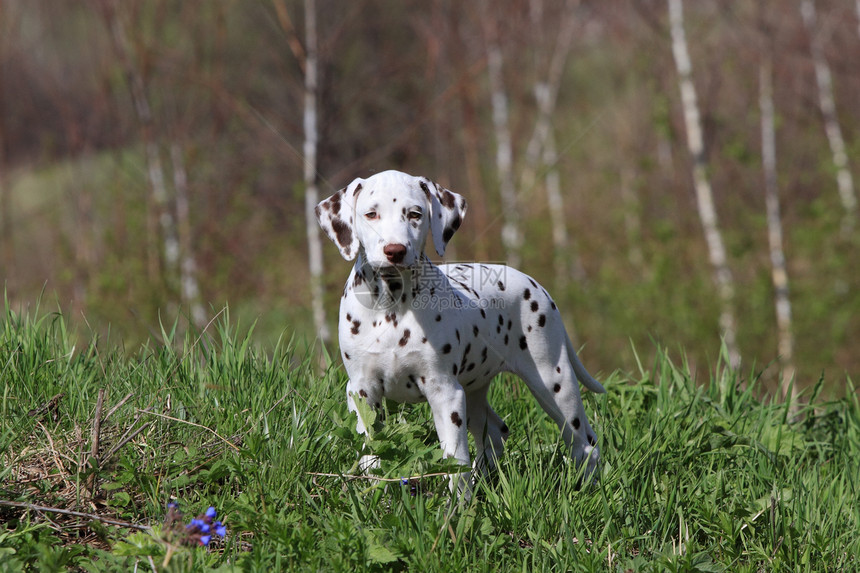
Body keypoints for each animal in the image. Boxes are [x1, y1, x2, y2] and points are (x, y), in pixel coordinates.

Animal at [316, 169, 604, 496]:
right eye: (371, 214)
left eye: (415, 214)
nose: (395, 251)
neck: (392, 306)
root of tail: (537, 286)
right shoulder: (363, 391)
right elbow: (371, 451)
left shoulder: (445, 393)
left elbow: (455, 459)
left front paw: (456, 505)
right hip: (476, 389)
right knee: (495, 431)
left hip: (553, 383)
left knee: (585, 443)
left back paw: (588, 489)